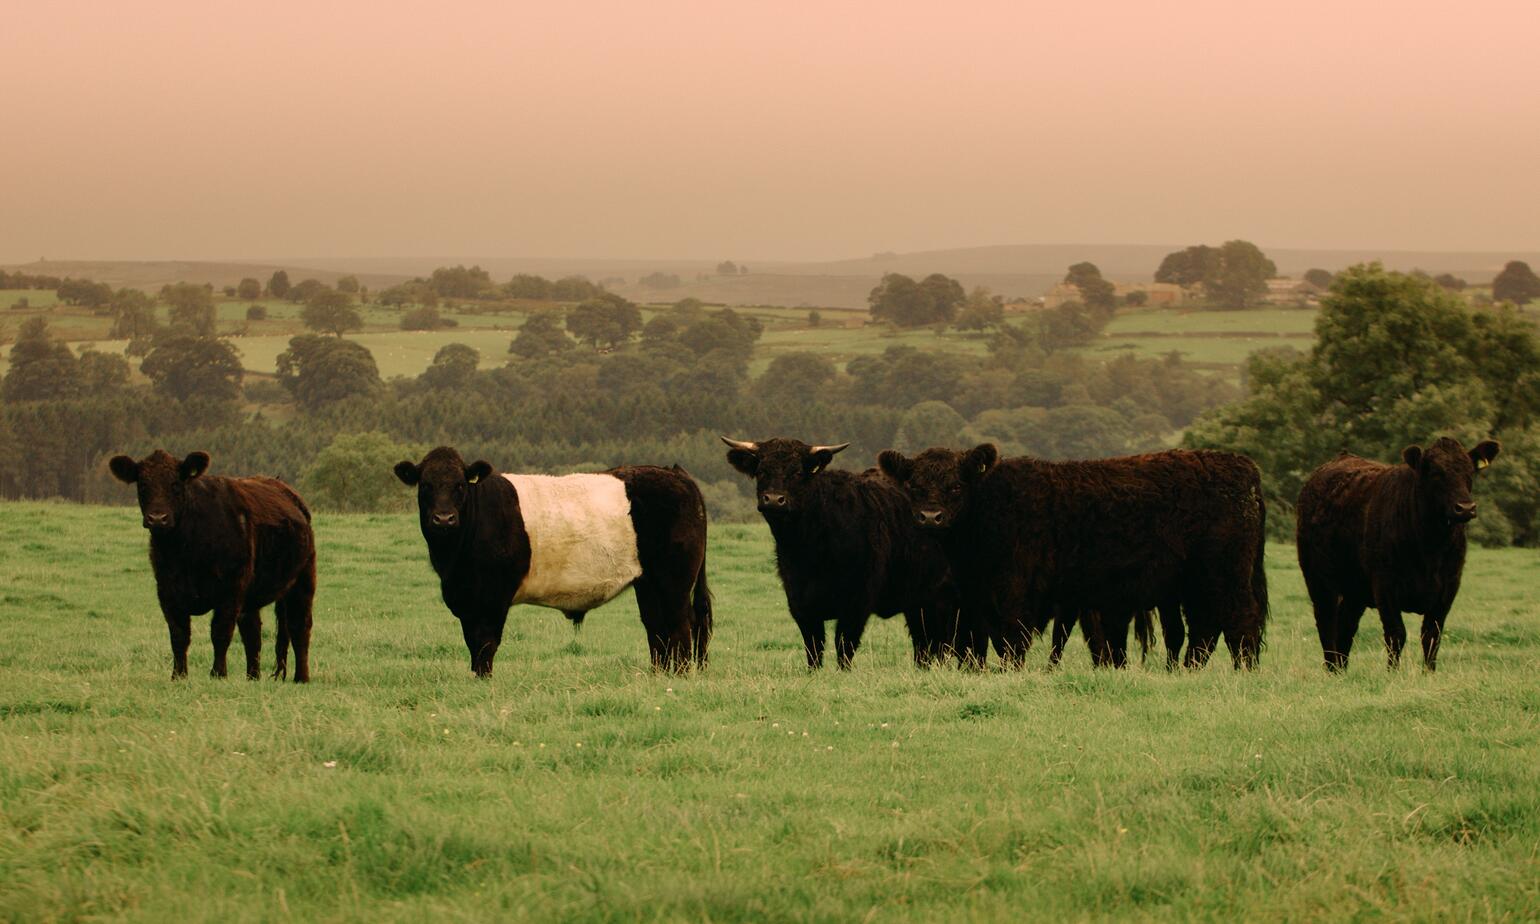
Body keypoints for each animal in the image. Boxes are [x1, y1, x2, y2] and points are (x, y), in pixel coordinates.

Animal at [109, 450, 316, 682]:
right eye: (143, 484)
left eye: (176, 484)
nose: (157, 518)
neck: (184, 551)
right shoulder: (167, 591)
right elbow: (178, 635)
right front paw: (178, 675)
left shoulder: (230, 589)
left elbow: (220, 632)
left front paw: (218, 674)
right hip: (251, 594)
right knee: (253, 632)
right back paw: (252, 677)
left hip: (303, 578)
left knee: (299, 626)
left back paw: (301, 677)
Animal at [393, 447, 711, 676]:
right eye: (425, 485)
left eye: (460, 485)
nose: (444, 518)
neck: (453, 564)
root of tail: (675, 473)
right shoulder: (468, 600)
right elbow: (473, 643)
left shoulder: (493, 596)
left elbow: (485, 643)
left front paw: (484, 681)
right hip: (648, 581)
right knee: (656, 625)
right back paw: (659, 675)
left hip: (675, 579)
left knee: (682, 623)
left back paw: (681, 675)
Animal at [721, 436, 964, 669]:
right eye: (761, 471)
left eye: (797, 472)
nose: (773, 499)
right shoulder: (799, 602)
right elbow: (813, 647)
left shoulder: (857, 602)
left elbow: (844, 644)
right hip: (917, 601)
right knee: (924, 643)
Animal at [878, 444, 1268, 669]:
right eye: (913, 486)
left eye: (956, 486)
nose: (930, 517)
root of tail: (1242, 466)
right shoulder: (979, 598)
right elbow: (988, 641)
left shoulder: (1015, 591)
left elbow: (1012, 640)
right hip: (1194, 583)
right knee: (1205, 628)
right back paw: (1189, 671)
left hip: (1225, 573)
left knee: (1240, 621)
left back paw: (1244, 673)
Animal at [1296, 437, 1500, 672]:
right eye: (1435, 473)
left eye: (1469, 471)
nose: (1465, 507)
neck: (1430, 549)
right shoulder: (1385, 585)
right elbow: (1396, 635)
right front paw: (1392, 673)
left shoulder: (1449, 587)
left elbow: (1432, 636)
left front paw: (1429, 673)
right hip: (1319, 579)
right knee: (1327, 622)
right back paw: (1331, 668)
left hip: (1354, 590)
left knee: (1346, 626)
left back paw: (1341, 670)